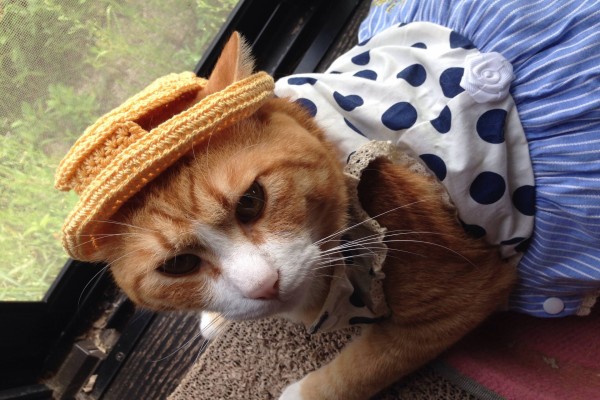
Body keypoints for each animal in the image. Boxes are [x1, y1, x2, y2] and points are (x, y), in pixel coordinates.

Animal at [84, 33, 516, 400]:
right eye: (179, 265)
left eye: (251, 201)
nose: (264, 286)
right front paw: (216, 317)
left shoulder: (464, 293)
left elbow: (363, 366)